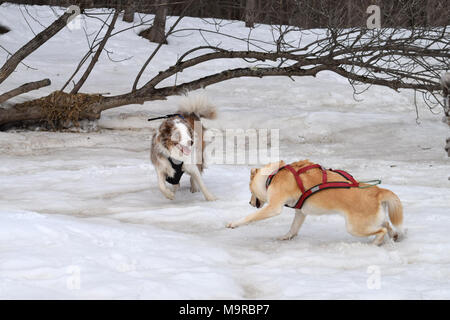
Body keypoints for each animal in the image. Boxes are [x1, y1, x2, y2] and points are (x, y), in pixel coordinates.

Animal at [227, 160, 406, 245]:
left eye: (250, 190)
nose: (250, 202)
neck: (273, 175)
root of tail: (377, 192)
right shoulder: (300, 211)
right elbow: (293, 228)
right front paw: (286, 237)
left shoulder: (273, 207)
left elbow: (250, 217)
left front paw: (233, 224)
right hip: (372, 220)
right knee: (387, 224)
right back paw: (395, 235)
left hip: (355, 228)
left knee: (382, 230)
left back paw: (376, 242)